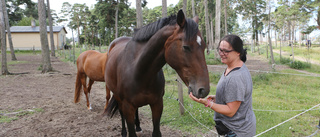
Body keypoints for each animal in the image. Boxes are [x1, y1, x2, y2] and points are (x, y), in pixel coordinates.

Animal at [105, 9, 210, 137]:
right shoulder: (127, 106)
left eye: (204, 46)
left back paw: (138, 126)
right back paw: (124, 132)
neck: (140, 71)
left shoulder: (157, 104)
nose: (203, 89)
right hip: (117, 96)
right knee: (121, 112)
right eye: (186, 47)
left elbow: (156, 131)